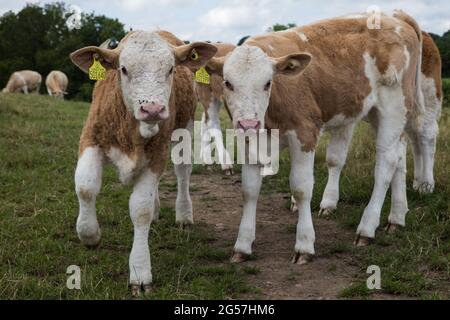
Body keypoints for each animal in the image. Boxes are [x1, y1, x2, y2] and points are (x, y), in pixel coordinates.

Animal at [70, 30, 218, 296]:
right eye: (124, 69)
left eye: (171, 69)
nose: (153, 109)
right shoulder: (90, 137)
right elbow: (86, 187)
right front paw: (89, 234)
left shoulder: (157, 154)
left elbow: (141, 209)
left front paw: (140, 272)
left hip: (184, 127)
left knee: (182, 172)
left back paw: (184, 214)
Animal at [207, 11, 426, 264]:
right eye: (227, 83)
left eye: (268, 83)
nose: (248, 123)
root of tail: (395, 17)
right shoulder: (250, 140)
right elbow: (249, 190)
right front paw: (242, 245)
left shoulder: (305, 132)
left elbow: (301, 188)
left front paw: (304, 244)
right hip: (377, 113)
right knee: (398, 158)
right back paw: (396, 217)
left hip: (394, 106)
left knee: (386, 164)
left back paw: (367, 228)